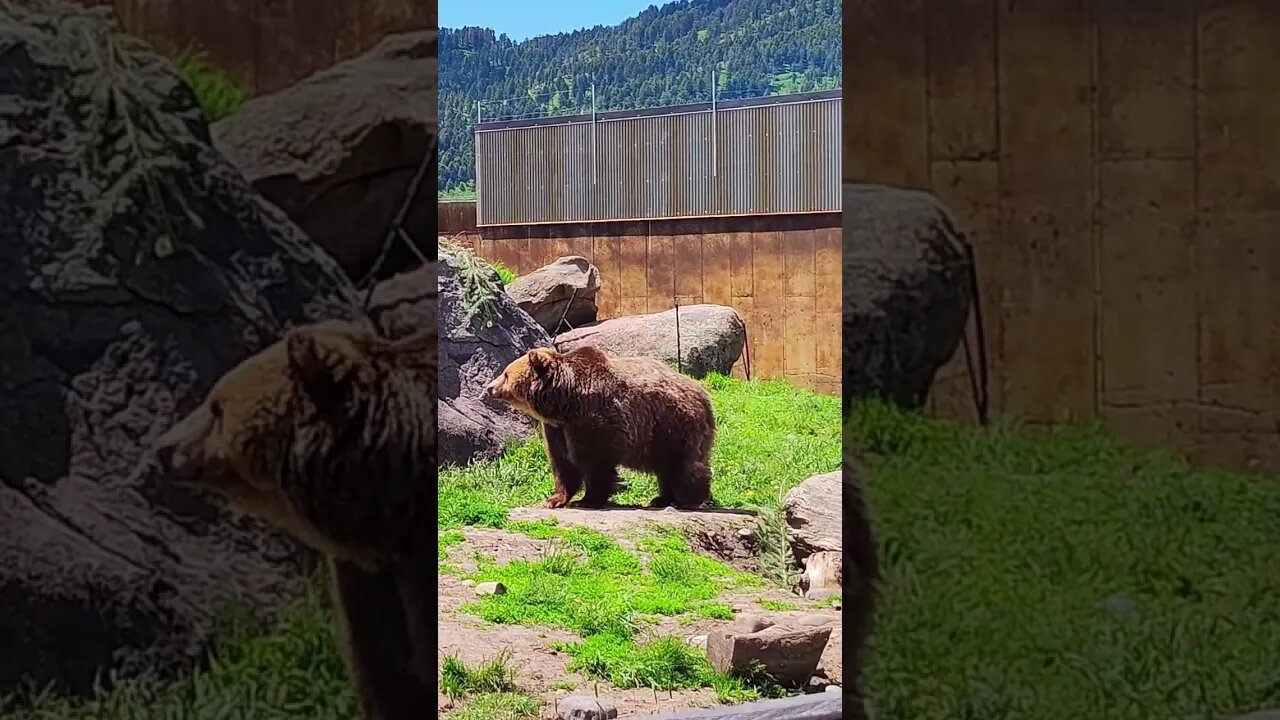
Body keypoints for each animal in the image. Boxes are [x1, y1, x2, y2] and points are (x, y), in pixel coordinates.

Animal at [481, 345, 716, 507]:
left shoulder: (593, 421)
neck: (563, 403)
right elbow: (563, 463)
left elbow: (595, 462)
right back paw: (661, 499)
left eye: (505, 374)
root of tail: (703, 394)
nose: (489, 387)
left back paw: (687, 499)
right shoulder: (557, 429)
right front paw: (554, 499)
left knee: (683, 464)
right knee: (665, 466)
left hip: (673, 425)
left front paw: (588, 499)